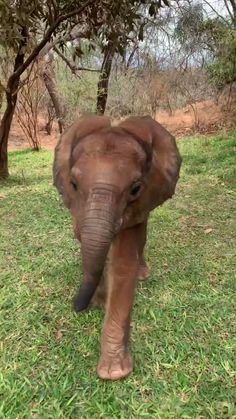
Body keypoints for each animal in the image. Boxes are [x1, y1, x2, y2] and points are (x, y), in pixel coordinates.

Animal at [53, 114, 182, 380]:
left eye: (135, 188)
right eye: (73, 183)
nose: (77, 307)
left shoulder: (142, 197)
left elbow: (122, 263)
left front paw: (114, 373)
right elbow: (86, 240)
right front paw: (99, 301)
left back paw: (143, 274)